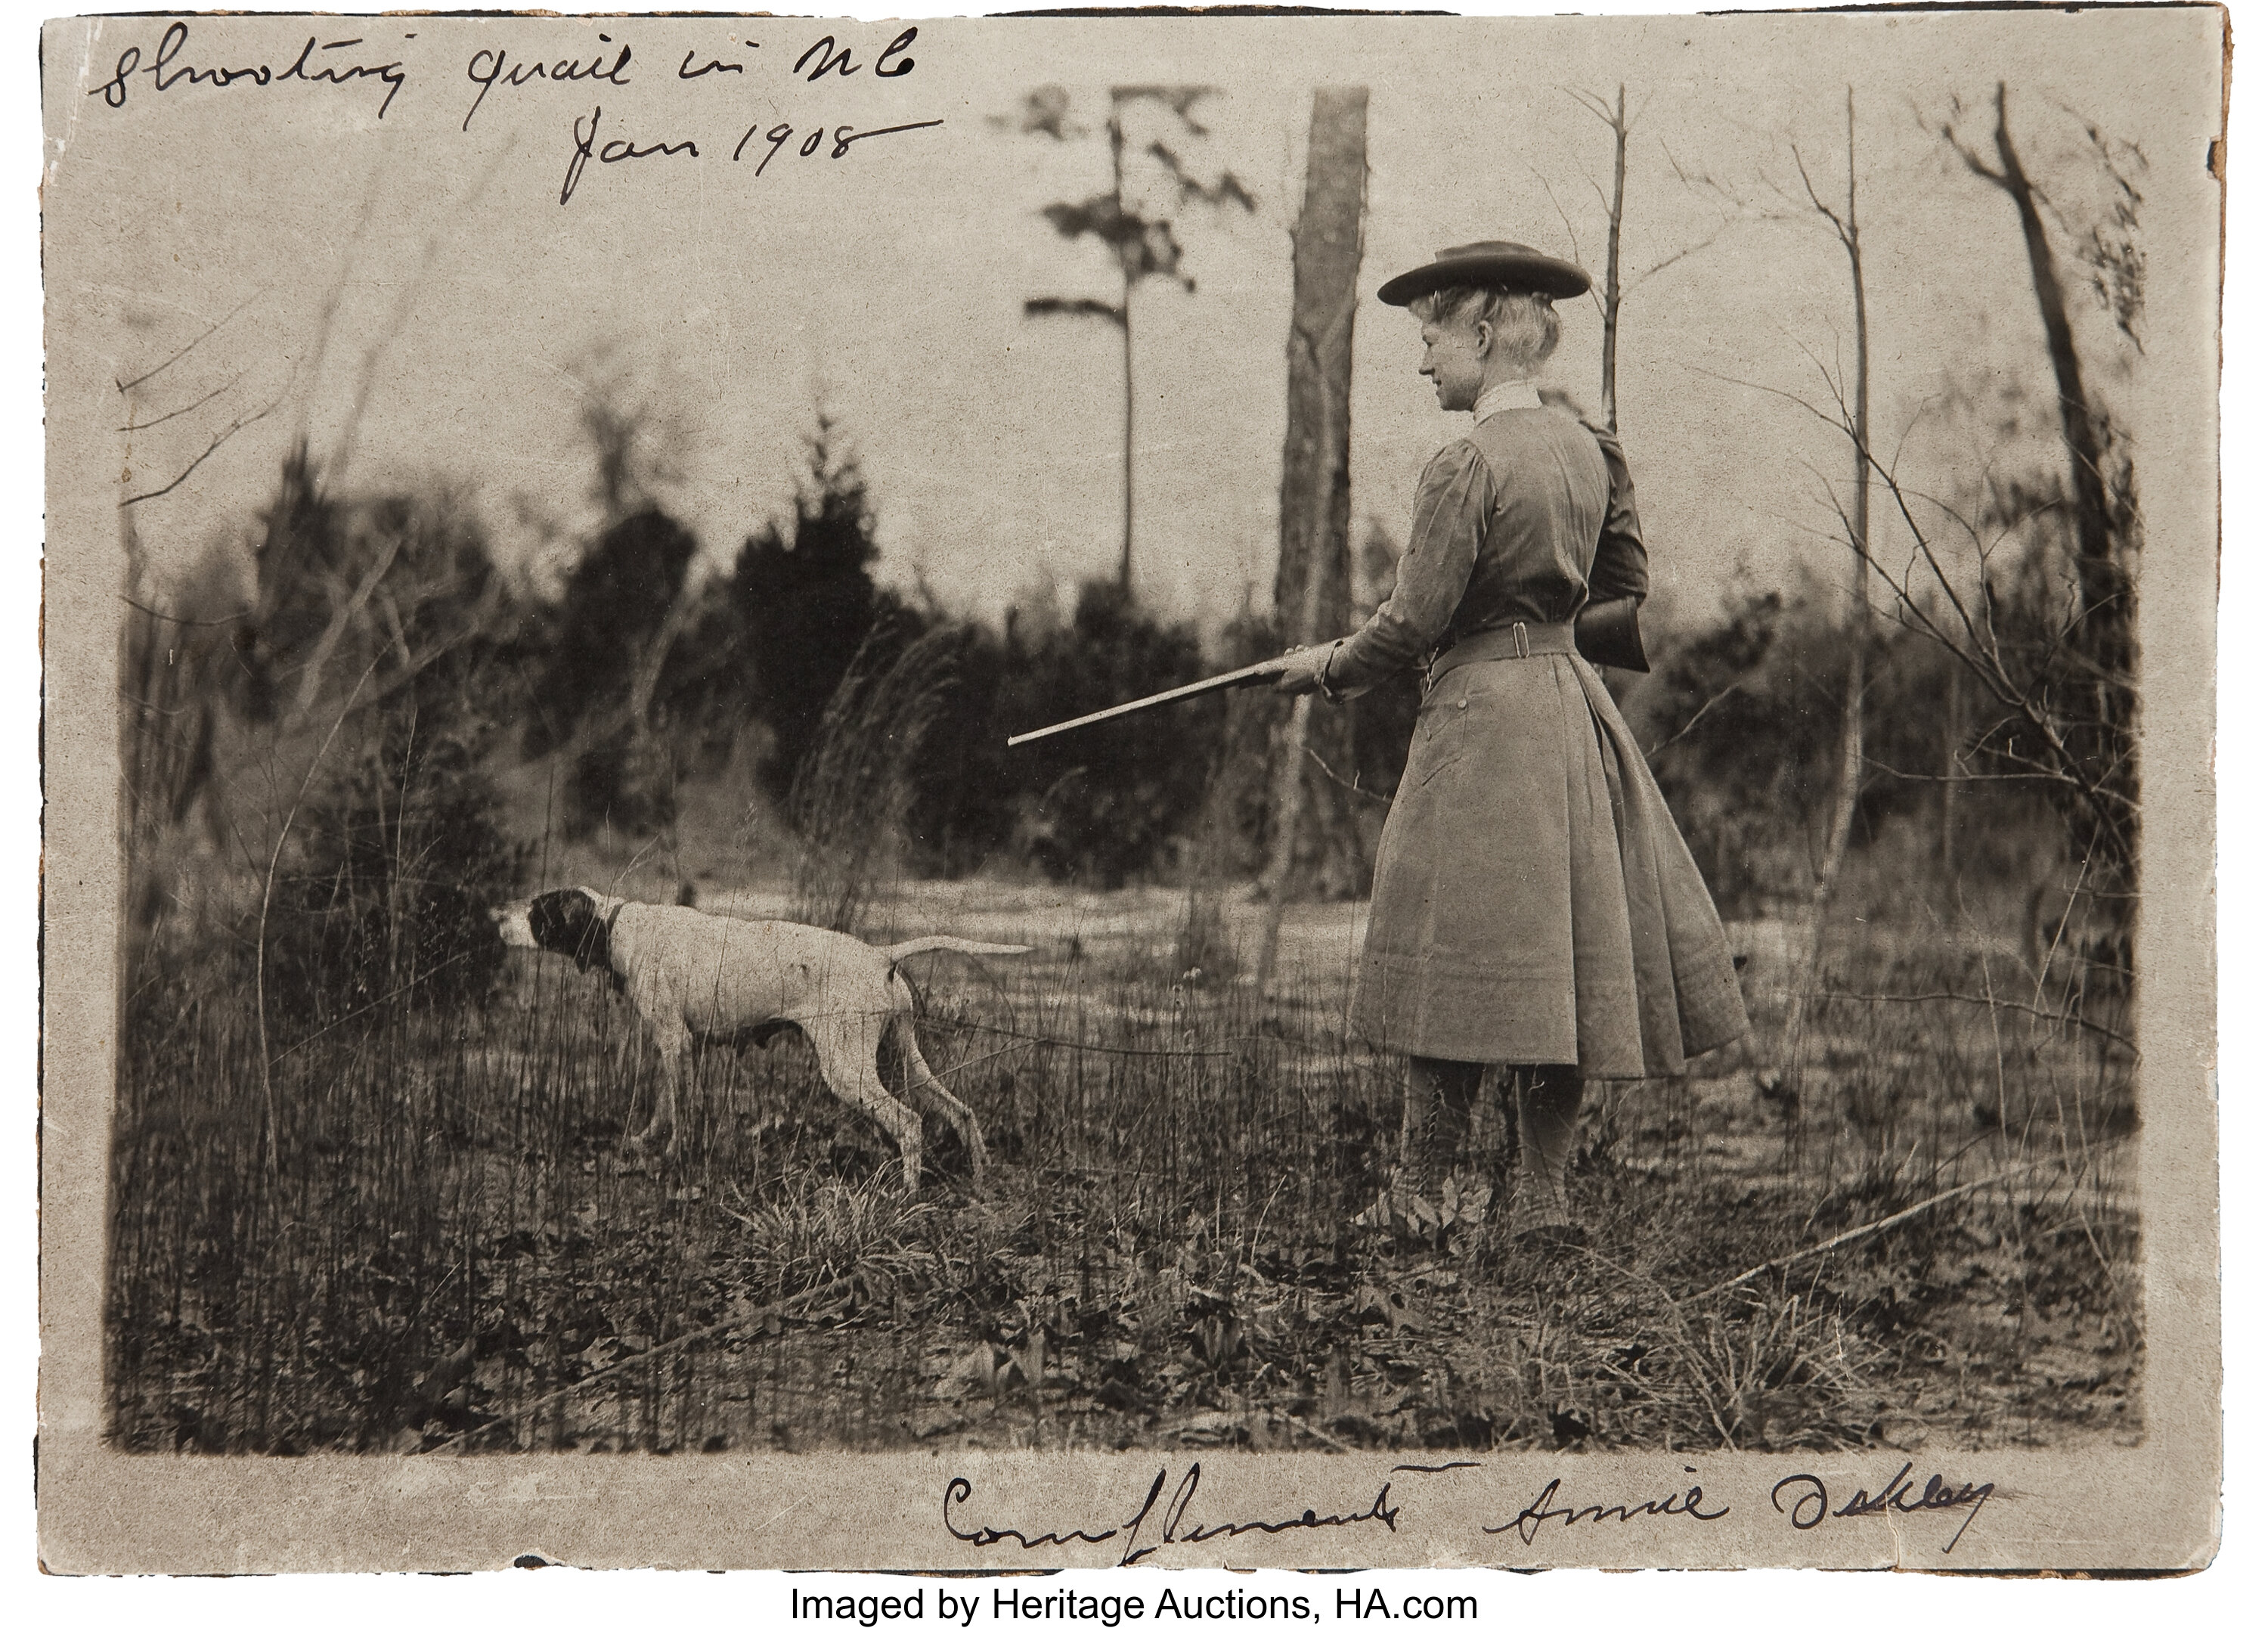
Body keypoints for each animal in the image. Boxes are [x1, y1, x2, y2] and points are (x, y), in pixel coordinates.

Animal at [501, 884, 1034, 1188]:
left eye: (537, 912)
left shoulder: (676, 1042)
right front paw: (646, 1140)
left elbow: (679, 1110)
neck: (616, 925)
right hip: (904, 1059)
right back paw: (980, 1181)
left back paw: (907, 1193)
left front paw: (672, 1157)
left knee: (908, 1123)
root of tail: (880, 956)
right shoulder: (678, 1046)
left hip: (849, 1071)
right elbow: (665, 1104)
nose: (496, 918)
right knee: (961, 1113)